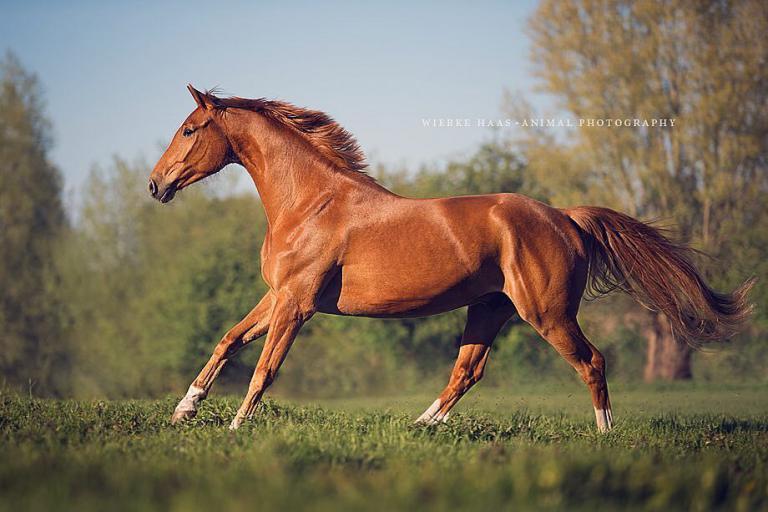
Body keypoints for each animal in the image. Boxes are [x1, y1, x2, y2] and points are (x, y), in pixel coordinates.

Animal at [148, 85, 753, 432]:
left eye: (188, 129)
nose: (155, 185)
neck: (310, 202)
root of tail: (565, 217)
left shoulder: (297, 303)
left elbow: (265, 368)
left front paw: (235, 429)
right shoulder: (277, 295)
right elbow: (228, 340)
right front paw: (185, 410)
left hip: (548, 314)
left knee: (591, 362)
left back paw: (605, 437)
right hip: (489, 308)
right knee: (468, 370)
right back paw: (421, 426)